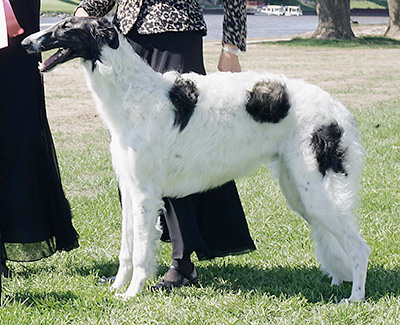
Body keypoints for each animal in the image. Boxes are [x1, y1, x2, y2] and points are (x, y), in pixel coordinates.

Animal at [22, 17, 372, 302]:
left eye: (66, 26)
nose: (26, 42)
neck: (132, 93)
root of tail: (340, 110)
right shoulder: (130, 189)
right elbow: (126, 251)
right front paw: (116, 288)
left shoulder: (146, 195)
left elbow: (141, 253)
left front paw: (132, 294)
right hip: (300, 191)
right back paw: (338, 281)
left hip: (318, 191)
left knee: (359, 247)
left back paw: (354, 297)